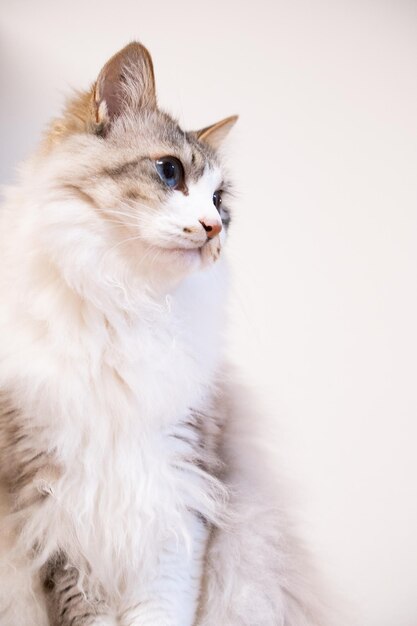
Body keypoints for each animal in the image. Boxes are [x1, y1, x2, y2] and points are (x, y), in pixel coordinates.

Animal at [0, 41, 332, 620]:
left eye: (220, 202)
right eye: (169, 172)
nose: (214, 228)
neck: (126, 301)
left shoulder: (177, 483)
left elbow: (164, 604)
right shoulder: (50, 500)